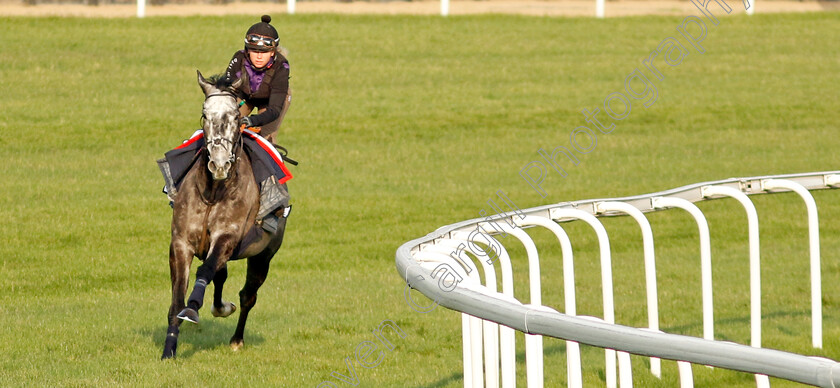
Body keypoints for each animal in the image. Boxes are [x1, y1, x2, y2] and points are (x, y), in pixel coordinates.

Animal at [162, 71, 290, 360]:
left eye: (234, 117)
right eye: (205, 114)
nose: (219, 164)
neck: (213, 191)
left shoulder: (227, 237)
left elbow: (205, 271)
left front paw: (193, 307)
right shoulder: (181, 243)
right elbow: (177, 298)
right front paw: (169, 349)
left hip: (264, 254)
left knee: (247, 295)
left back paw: (236, 338)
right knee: (220, 276)